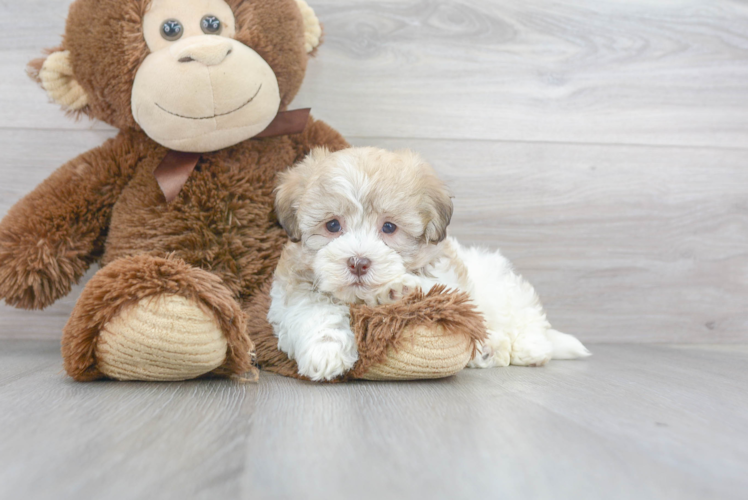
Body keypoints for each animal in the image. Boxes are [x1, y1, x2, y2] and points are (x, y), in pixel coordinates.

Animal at [268, 146, 592, 380]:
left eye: (389, 228)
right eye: (333, 225)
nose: (358, 262)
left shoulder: (449, 279)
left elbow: (431, 289)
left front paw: (395, 290)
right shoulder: (294, 289)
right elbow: (312, 312)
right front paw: (325, 352)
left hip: (500, 288)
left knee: (525, 316)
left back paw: (531, 347)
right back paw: (488, 351)